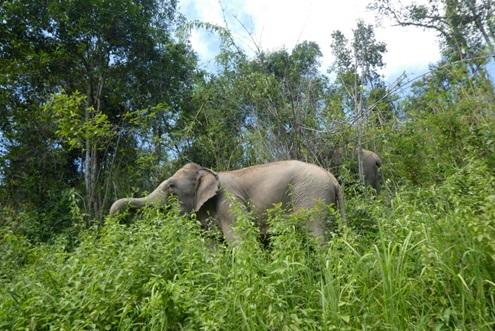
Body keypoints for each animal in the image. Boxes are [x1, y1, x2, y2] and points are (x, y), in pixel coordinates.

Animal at [110, 161, 346, 244]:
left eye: (171, 187)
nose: (112, 221)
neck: (209, 171)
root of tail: (334, 180)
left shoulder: (229, 203)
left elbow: (240, 242)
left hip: (312, 197)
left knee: (316, 234)